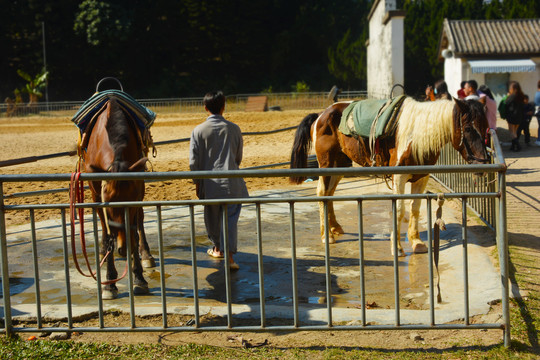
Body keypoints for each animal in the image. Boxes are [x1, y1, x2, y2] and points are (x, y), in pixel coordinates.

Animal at [83, 97, 154, 300]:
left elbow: (134, 230)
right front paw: (109, 283)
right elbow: (108, 234)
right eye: (109, 207)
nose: (123, 247)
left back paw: (146, 254)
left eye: (131, 201)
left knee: (140, 223)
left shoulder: (138, 190)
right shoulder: (97, 194)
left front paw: (139, 278)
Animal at [292, 97, 490, 256]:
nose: (483, 163)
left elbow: (415, 208)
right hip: (326, 165)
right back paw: (327, 236)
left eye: (486, 129)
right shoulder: (399, 177)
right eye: (468, 128)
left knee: (330, 194)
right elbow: (400, 210)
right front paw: (398, 247)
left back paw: (335, 227)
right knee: (322, 193)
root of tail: (321, 115)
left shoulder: (421, 177)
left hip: (339, 166)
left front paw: (417, 242)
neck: (415, 136)